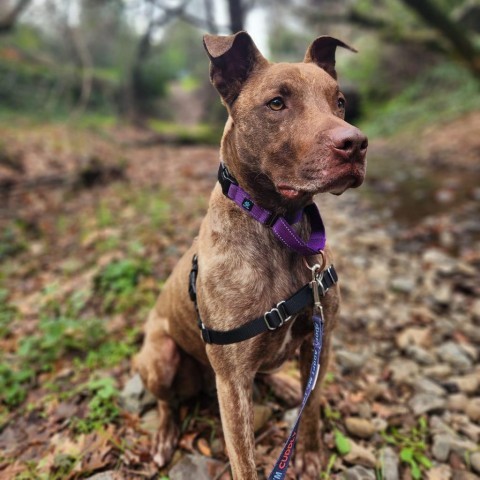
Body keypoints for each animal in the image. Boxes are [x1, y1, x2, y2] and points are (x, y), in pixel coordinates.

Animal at [135, 31, 368, 478]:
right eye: (276, 103)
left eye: (340, 101)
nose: (355, 144)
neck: (280, 229)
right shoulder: (232, 383)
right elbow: (244, 461)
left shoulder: (322, 340)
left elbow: (312, 403)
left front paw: (308, 453)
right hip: (159, 356)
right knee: (166, 402)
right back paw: (164, 437)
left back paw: (284, 383)